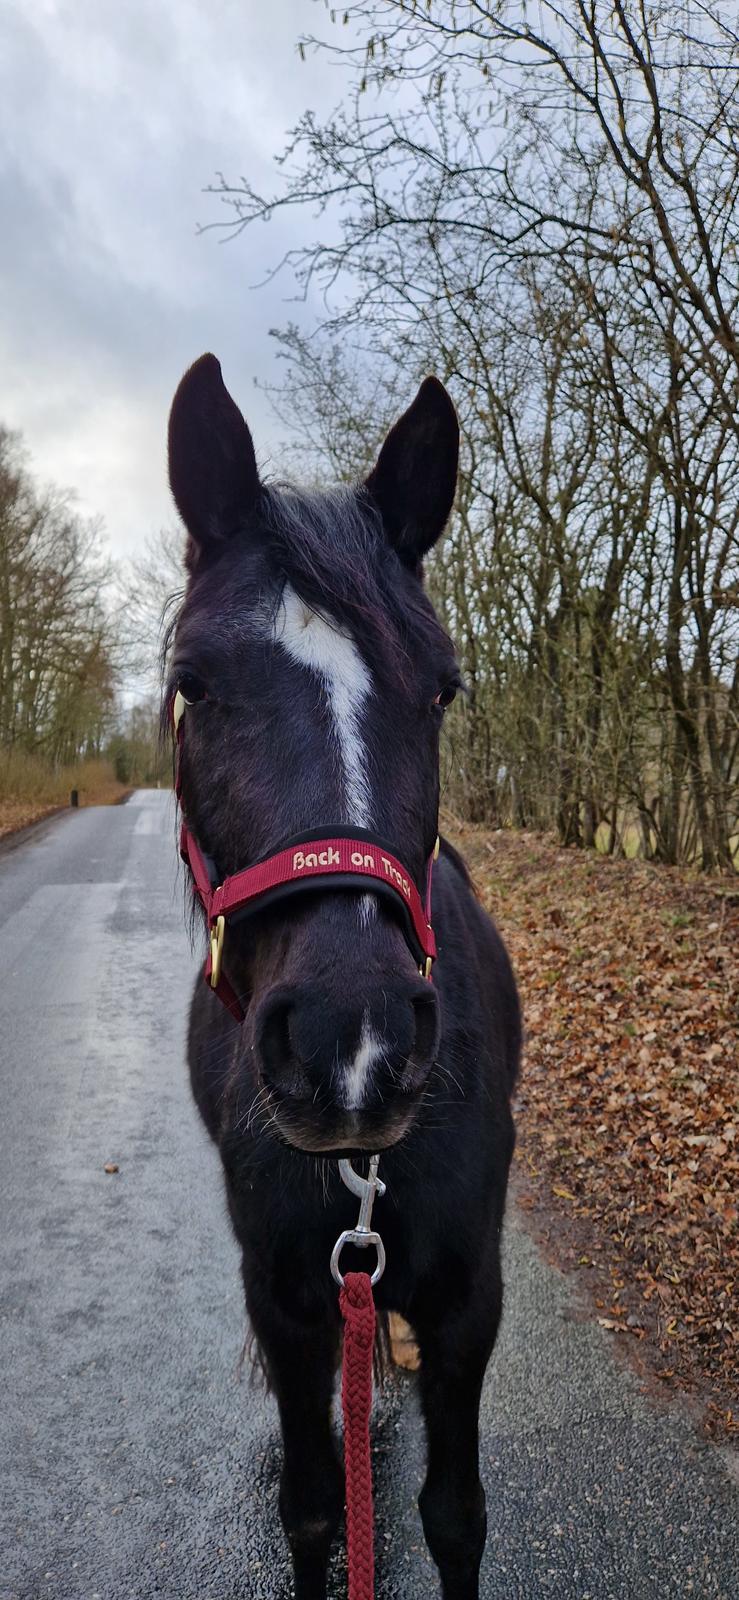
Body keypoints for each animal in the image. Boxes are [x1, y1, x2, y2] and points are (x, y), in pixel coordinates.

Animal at [164, 356, 521, 1600]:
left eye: (443, 687)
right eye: (192, 683)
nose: (350, 1044)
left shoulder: (468, 1303)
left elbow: (455, 1516)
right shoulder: (288, 1305)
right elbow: (317, 1511)